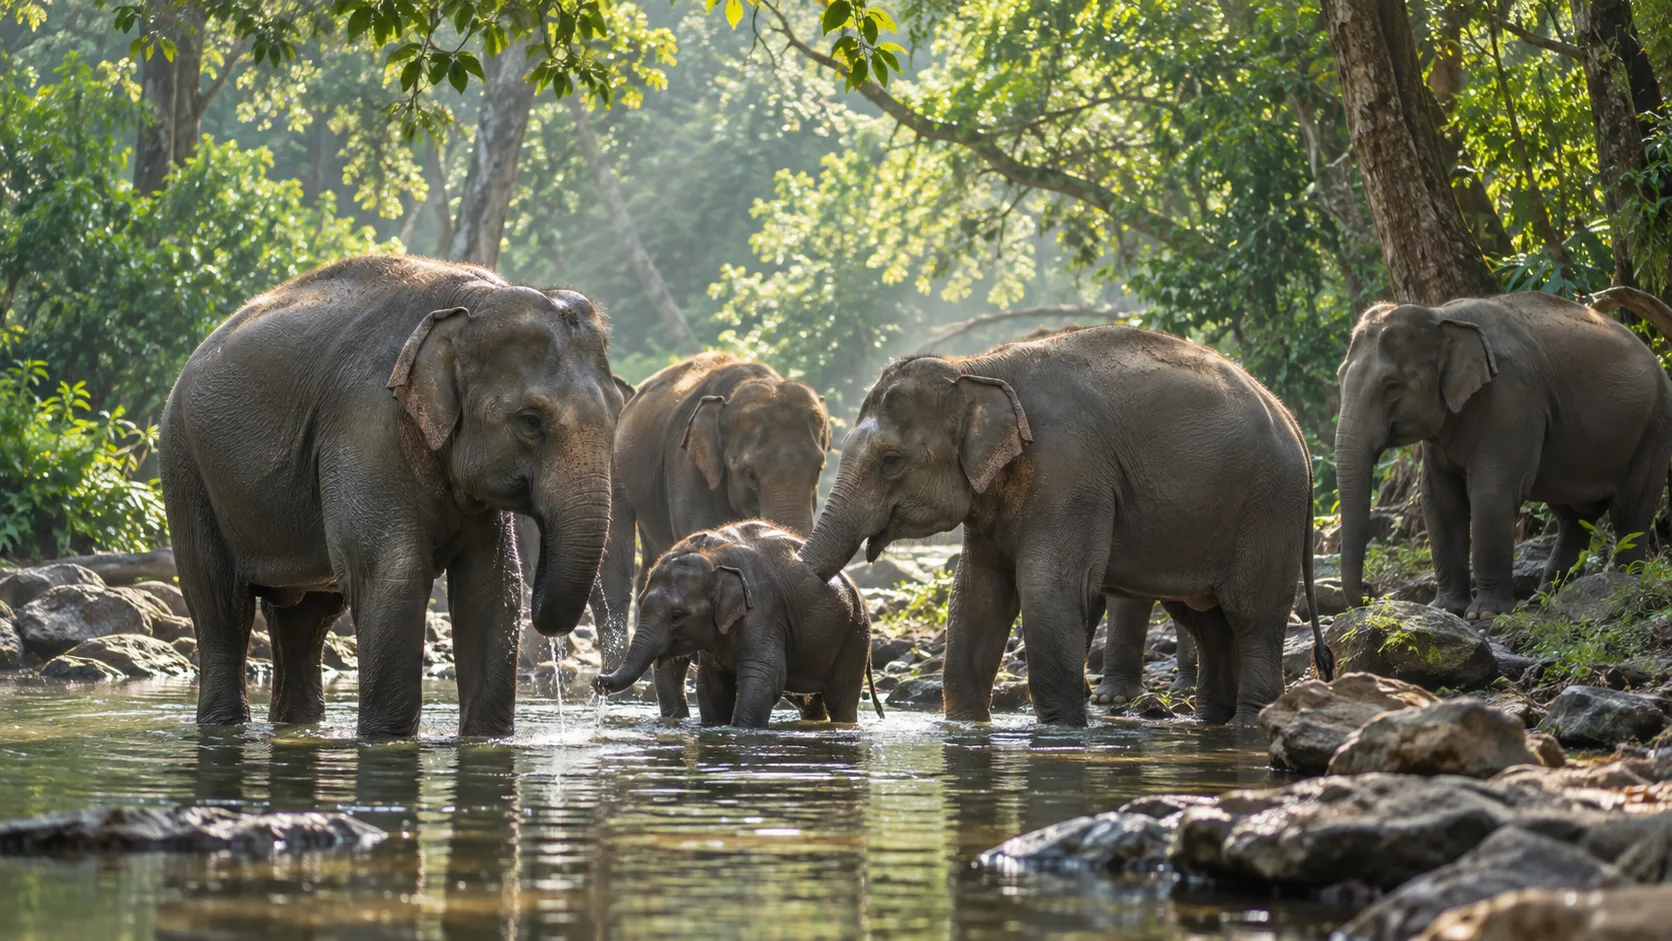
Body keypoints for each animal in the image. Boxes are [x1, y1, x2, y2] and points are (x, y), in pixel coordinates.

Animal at [161, 255, 622, 739]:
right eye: (530, 421)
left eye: (618, 411)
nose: (599, 681)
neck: (473, 302)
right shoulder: (365, 422)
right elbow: (392, 573)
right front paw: (387, 738)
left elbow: (492, 583)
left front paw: (487, 738)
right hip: (185, 465)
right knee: (221, 607)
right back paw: (222, 727)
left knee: (304, 620)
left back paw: (297, 726)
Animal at [592, 520, 880, 727]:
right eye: (640, 602)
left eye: (677, 616)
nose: (599, 680)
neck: (713, 557)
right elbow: (712, 685)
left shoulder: (763, 609)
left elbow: (763, 675)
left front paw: (742, 730)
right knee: (811, 702)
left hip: (856, 635)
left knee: (841, 696)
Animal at [799, 325, 1333, 727]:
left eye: (890, 461)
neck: (976, 366)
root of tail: (1295, 427)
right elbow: (976, 595)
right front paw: (965, 725)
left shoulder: (1069, 471)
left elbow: (1048, 589)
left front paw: (1061, 730)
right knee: (1207, 623)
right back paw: (1213, 723)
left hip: (1269, 506)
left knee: (1251, 614)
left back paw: (1248, 724)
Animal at [1336, 288, 1672, 620]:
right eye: (1340, 377)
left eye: (1392, 386)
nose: (1370, 592)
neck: (1441, 315)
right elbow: (1441, 499)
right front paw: (1445, 608)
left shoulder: (1511, 397)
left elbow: (1491, 491)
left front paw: (1484, 614)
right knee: (1574, 517)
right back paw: (1542, 599)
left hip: (1655, 426)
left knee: (1630, 508)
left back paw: (1622, 584)